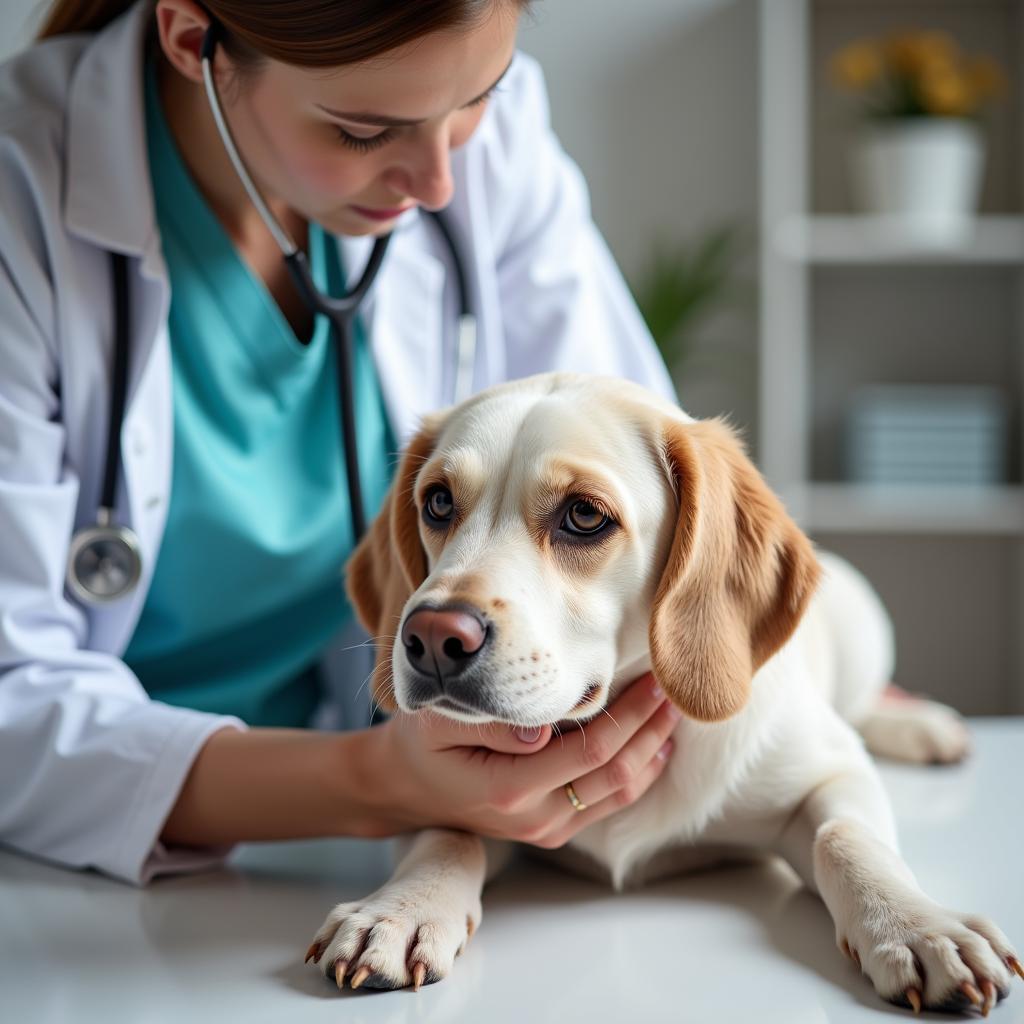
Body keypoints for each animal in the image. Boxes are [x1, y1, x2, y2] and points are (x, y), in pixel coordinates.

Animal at [301, 372, 1015, 1011]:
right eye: (439, 503)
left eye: (584, 515)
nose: (429, 637)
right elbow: (449, 837)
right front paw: (397, 911)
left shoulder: (835, 773)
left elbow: (844, 839)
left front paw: (918, 927)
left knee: (865, 708)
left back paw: (924, 727)